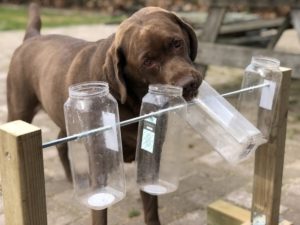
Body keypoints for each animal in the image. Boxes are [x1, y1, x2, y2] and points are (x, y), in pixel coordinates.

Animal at [6, 3, 202, 225]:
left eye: (177, 43)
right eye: (147, 61)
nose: (189, 84)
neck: (131, 104)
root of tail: (31, 37)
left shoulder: (150, 153)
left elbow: (150, 203)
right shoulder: (100, 163)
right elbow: (100, 210)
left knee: (60, 142)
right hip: (18, 110)